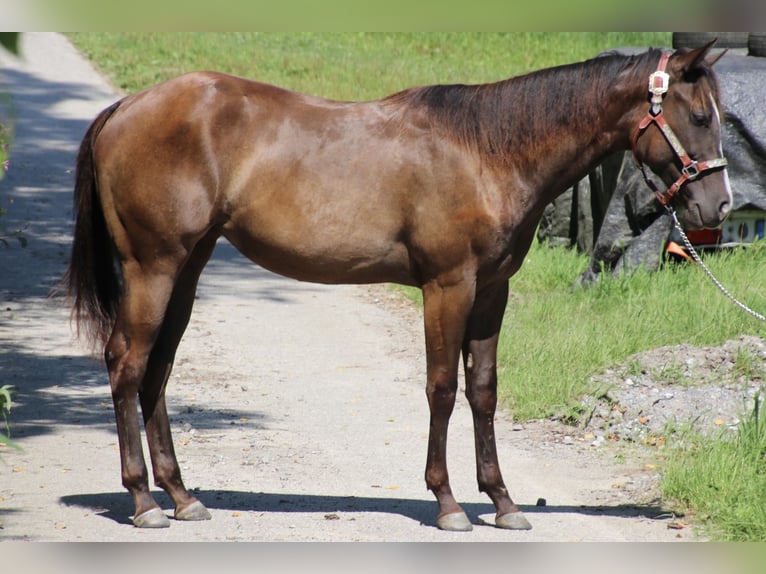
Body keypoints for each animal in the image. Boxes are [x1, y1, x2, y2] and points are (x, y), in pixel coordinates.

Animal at [64, 42, 732, 532]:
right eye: (699, 117)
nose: (719, 205)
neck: (487, 152)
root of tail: (126, 107)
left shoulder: (492, 292)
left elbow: (483, 392)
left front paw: (504, 503)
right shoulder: (447, 286)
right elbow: (441, 389)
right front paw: (450, 504)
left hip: (187, 268)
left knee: (157, 370)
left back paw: (181, 496)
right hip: (154, 267)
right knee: (127, 364)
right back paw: (144, 502)